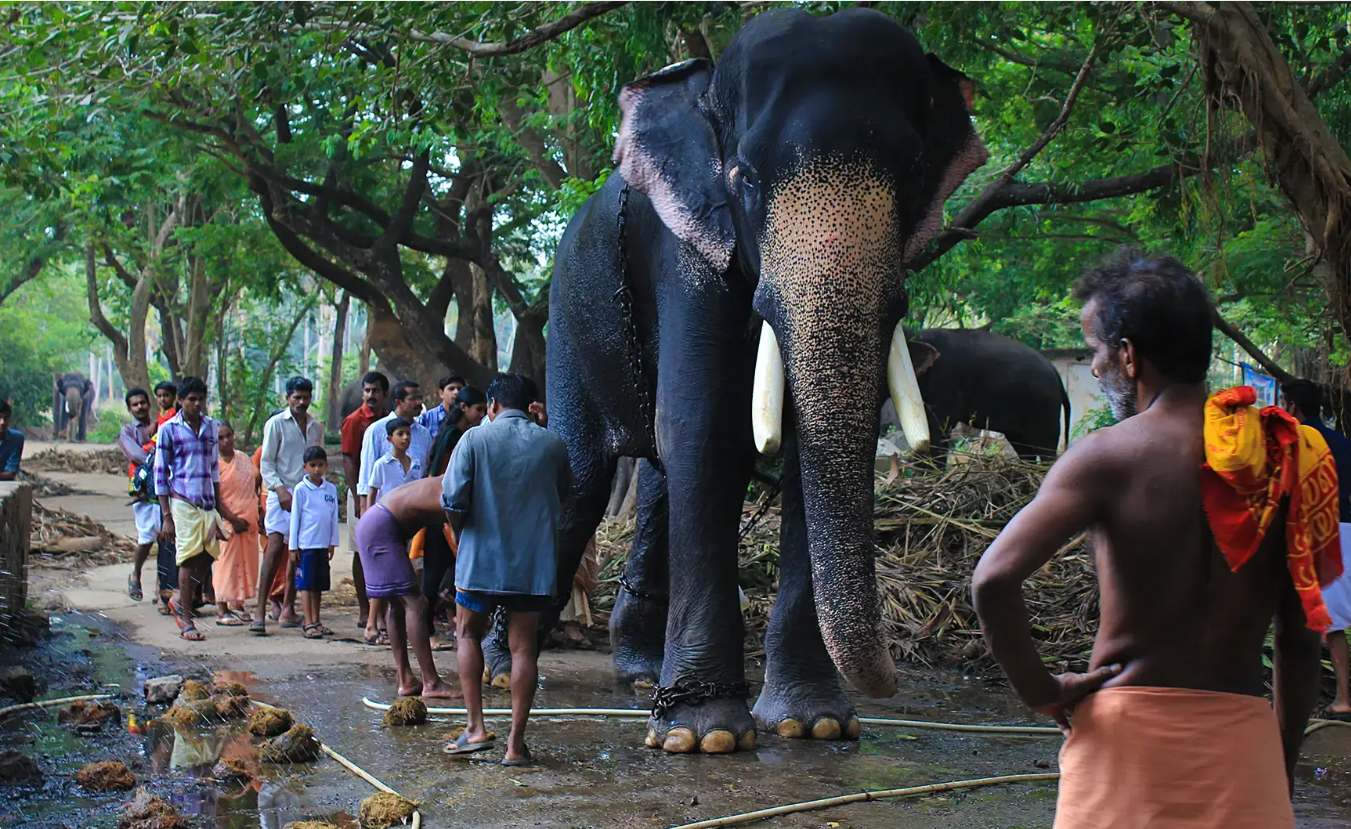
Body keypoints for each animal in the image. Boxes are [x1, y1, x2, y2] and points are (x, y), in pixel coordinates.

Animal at [506, 8, 989, 755]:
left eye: (912, 173)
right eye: (745, 177)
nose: (889, 681)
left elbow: (800, 451)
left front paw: (812, 723)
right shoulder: (689, 253)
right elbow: (703, 430)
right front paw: (701, 736)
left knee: (654, 481)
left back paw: (639, 675)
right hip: (569, 318)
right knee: (582, 476)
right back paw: (505, 664)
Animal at [880, 328, 1071, 461]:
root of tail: (1057, 375)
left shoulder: (943, 385)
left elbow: (936, 432)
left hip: (1043, 407)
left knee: (1045, 447)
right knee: (1024, 448)